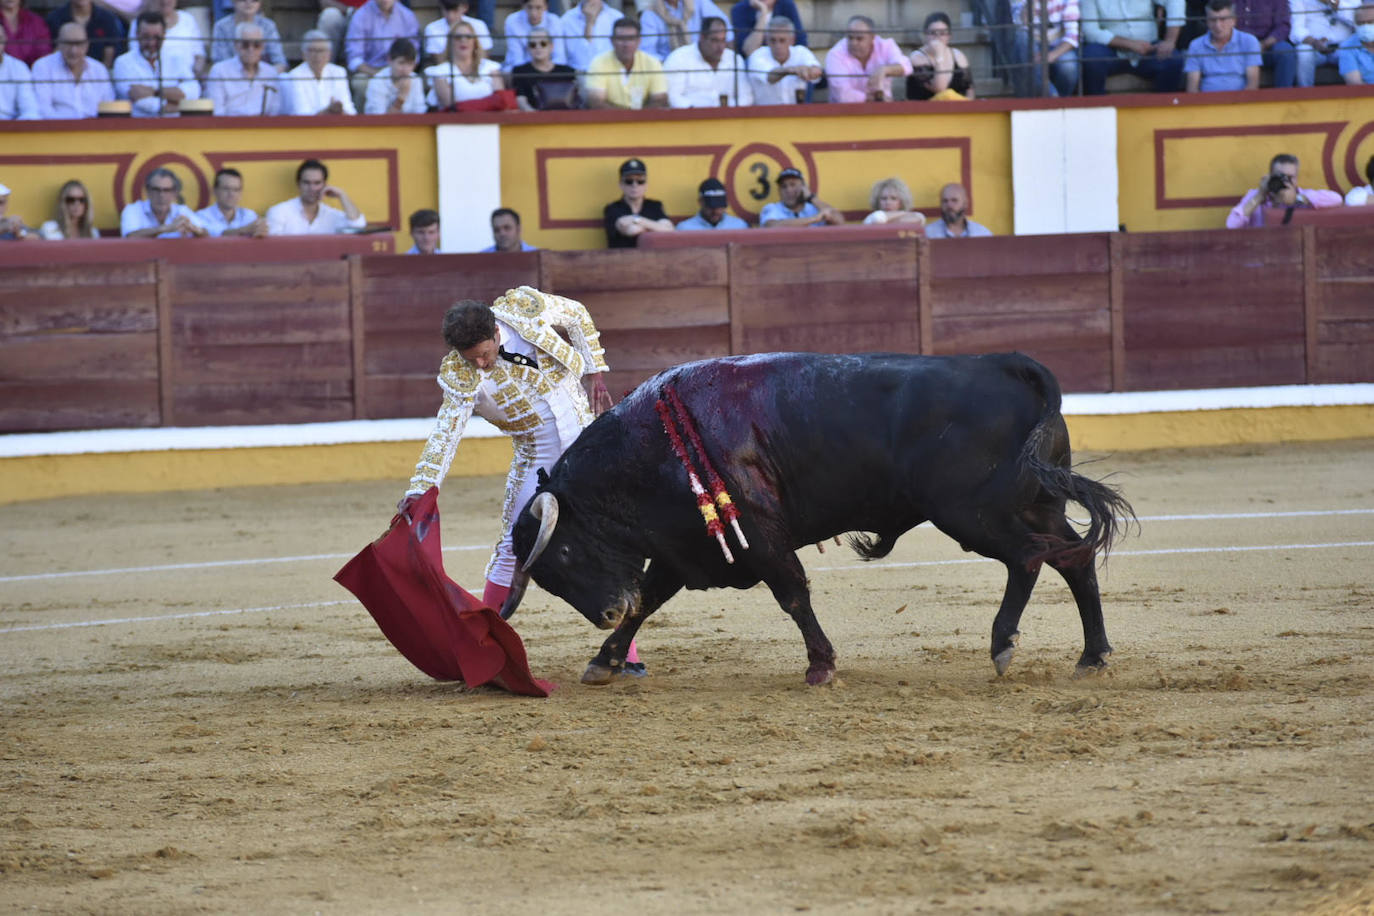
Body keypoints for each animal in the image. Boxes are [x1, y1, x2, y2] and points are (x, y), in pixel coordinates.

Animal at [500, 354, 1132, 683]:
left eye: (564, 551)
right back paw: (1092, 656)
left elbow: (793, 595)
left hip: (973, 513)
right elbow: (649, 602)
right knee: (1074, 558)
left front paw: (822, 667)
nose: (604, 613)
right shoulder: (686, 548)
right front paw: (603, 660)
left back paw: (1004, 645)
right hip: (1035, 505)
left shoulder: (759, 538)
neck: (655, 446)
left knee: (1029, 558)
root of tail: (1007, 367)